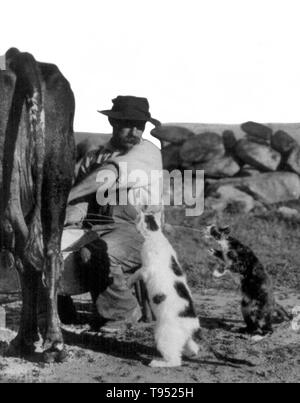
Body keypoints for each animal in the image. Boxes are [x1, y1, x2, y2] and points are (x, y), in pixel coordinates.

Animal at [127, 211, 200, 370]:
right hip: (181, 338)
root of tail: (192, 325)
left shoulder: (146, 269)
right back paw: (191, 353)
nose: (134, 218)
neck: (156, 235)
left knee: (175, 361)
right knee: (192, 347)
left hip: (163, 337)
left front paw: (128, 282)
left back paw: (156, 363)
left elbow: (135, 274)